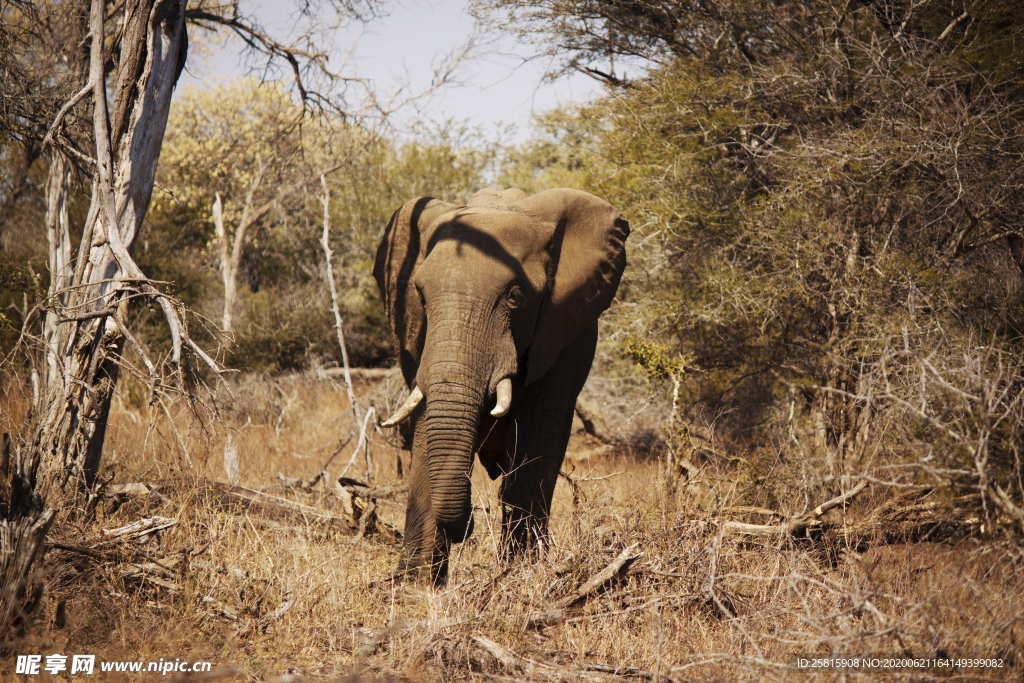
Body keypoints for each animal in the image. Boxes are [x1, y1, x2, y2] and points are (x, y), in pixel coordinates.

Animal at [374, 185, 626, 581]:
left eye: (515, 296)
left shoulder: (564, 336)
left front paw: (521, 574)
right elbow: (428, 425)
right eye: (421, 295)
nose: (466, 526)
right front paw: (415, 584)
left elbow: (539, 436)